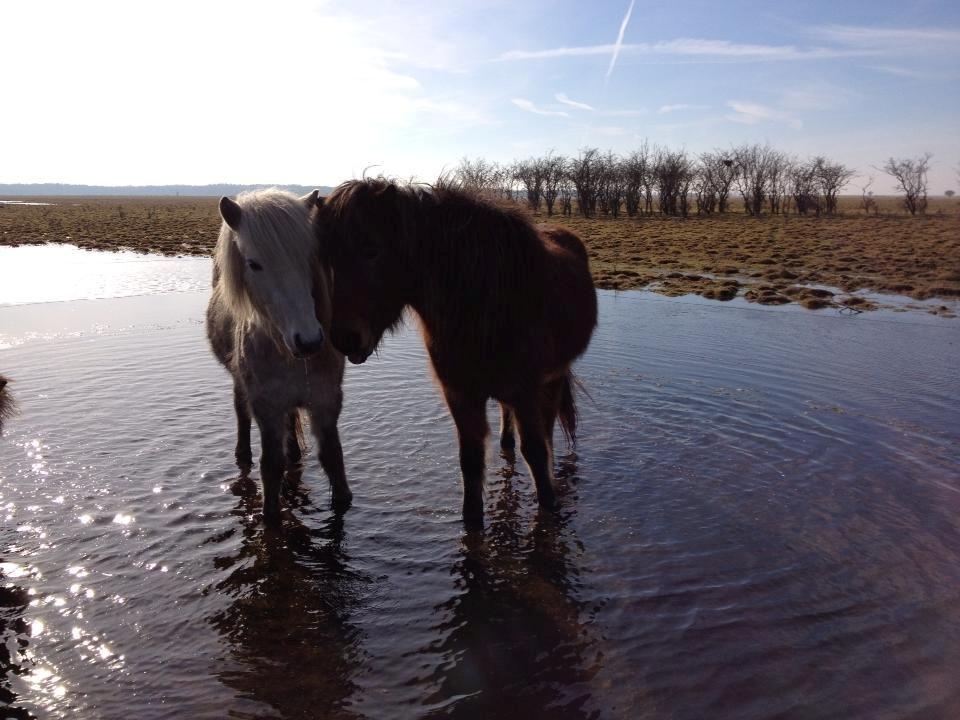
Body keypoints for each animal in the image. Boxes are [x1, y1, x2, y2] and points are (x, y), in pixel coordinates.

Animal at [204, 188, 350, 520]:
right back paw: (242, 452)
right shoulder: (266, 408)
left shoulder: (325, 403)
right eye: (254, 264)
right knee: (241, 413)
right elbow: (270, 469)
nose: (309, 340)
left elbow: (334, 461)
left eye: (309, 257)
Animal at [318, 177, 596, 520]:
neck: (483, 303)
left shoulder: (526, 391)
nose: (345, 338)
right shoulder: (461, 395)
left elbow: (535, 452)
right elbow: (471, 462)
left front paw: (549, 508)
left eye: (372, 250)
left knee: (546, 431)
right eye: (328, 258)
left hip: (553, 379)